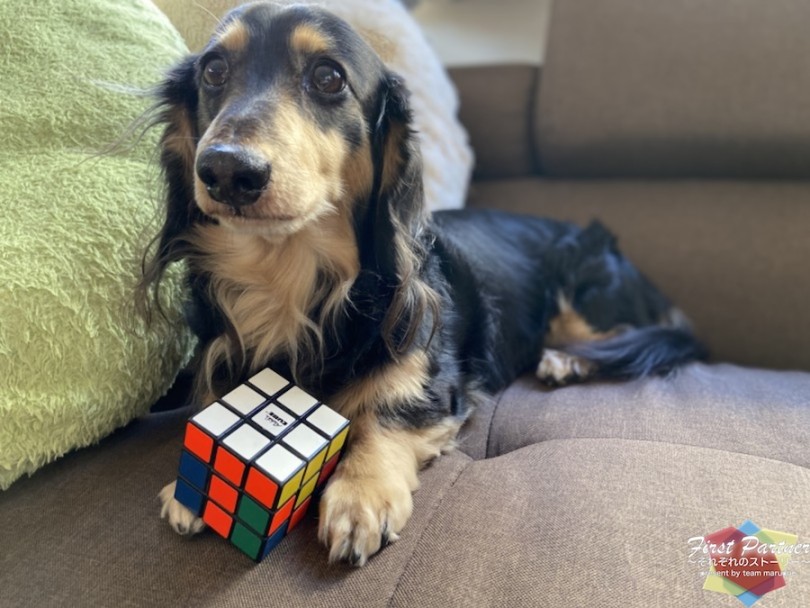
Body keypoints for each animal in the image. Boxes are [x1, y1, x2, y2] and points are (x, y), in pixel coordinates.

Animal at [139, 2, 706, 566]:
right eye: (214, 71)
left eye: (328, 77)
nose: (226, 170)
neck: (290, 279)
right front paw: (189, 491)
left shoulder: (426, 371)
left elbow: (386, 411)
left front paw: (360, 493)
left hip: (581, 287)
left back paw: (569, 360)